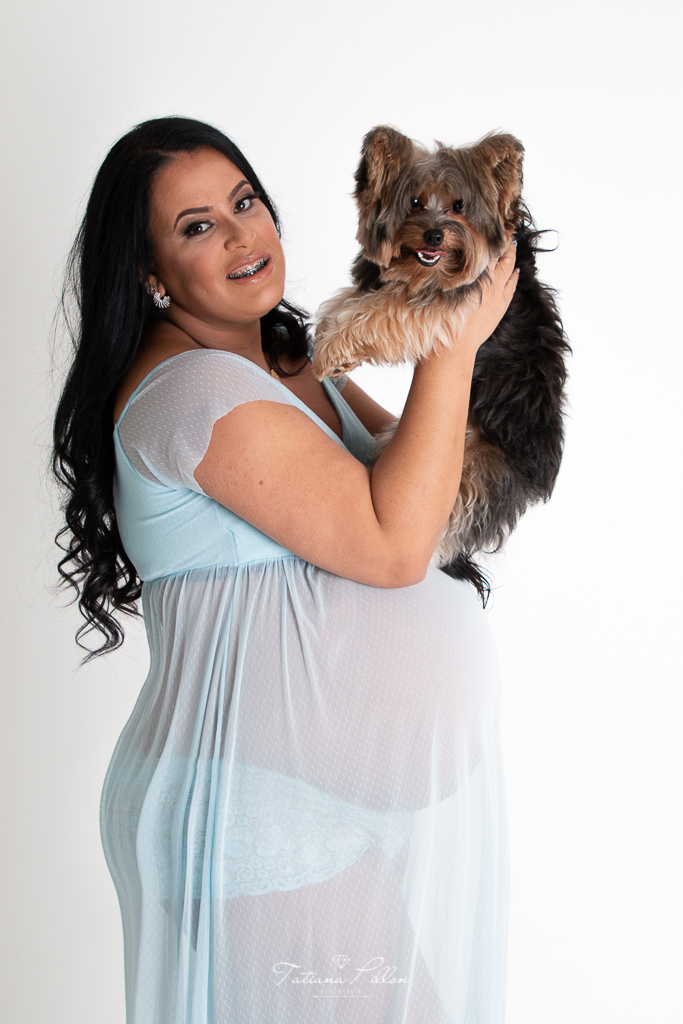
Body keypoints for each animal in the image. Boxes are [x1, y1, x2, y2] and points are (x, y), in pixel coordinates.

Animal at [311, 126, 570, 600]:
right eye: (414, 202)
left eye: (458, 206)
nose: (434, 236)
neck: (424, 270)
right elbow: (351, 300)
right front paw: (326, 336)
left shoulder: (449, 301)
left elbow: (383, 309)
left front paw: (331, 351)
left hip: (476, 466)